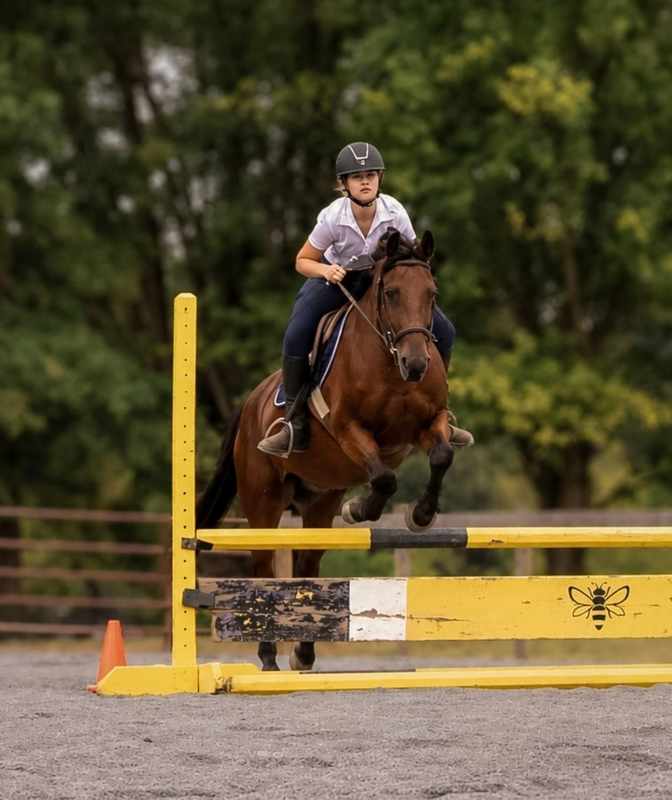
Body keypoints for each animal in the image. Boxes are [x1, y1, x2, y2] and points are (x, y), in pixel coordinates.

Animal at [196, 229, 457, 671]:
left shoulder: (428, 424)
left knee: (308, 564)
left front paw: (421, 515)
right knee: (263, 567)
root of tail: (251, 402)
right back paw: (268, 657)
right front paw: (360, 510)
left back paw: (303, 653)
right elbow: (384, 478)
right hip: (263, 500)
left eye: (432, 294)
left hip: (319, 500)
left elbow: (441, 456)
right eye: (391, 293)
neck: (389, 365)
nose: (416, 364)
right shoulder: (347, 429)